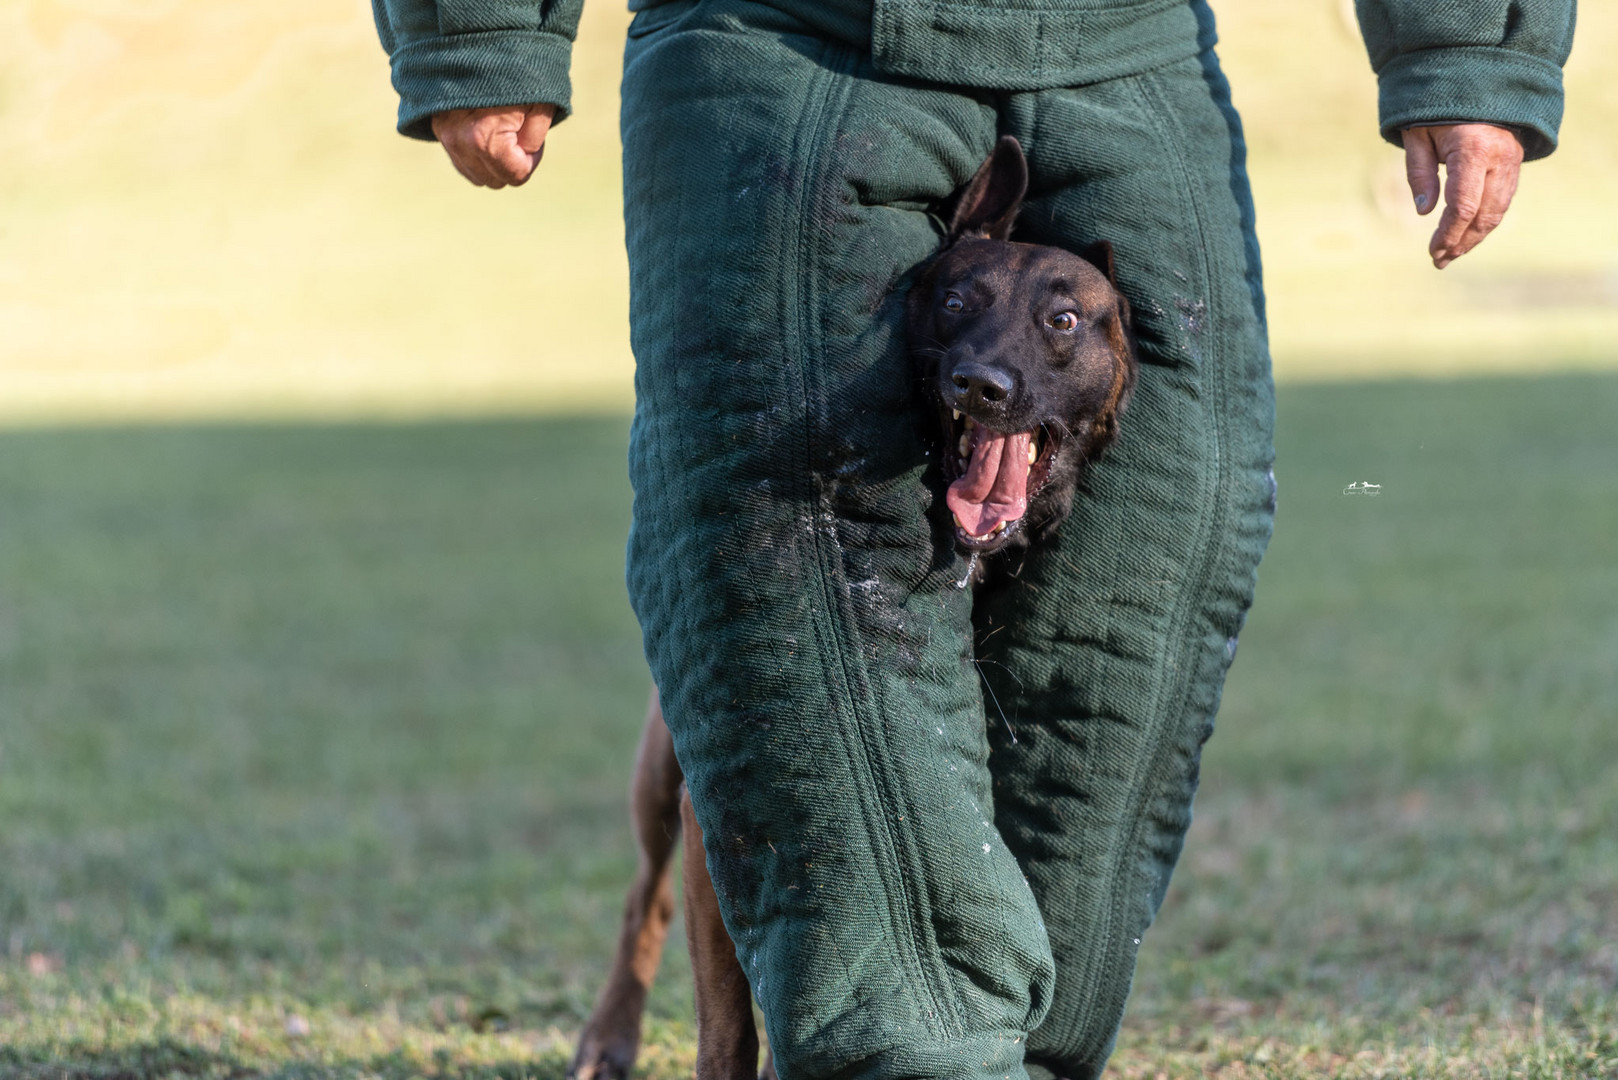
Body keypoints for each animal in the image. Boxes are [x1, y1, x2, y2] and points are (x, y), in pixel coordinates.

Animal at [569, 135, 1139, 1080]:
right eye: (954, 301)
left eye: (1063, 321)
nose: (980, 385)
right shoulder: (720, 825)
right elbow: (732, 1020)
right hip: (658, 776)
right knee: (643, 901)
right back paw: (609, 1033)